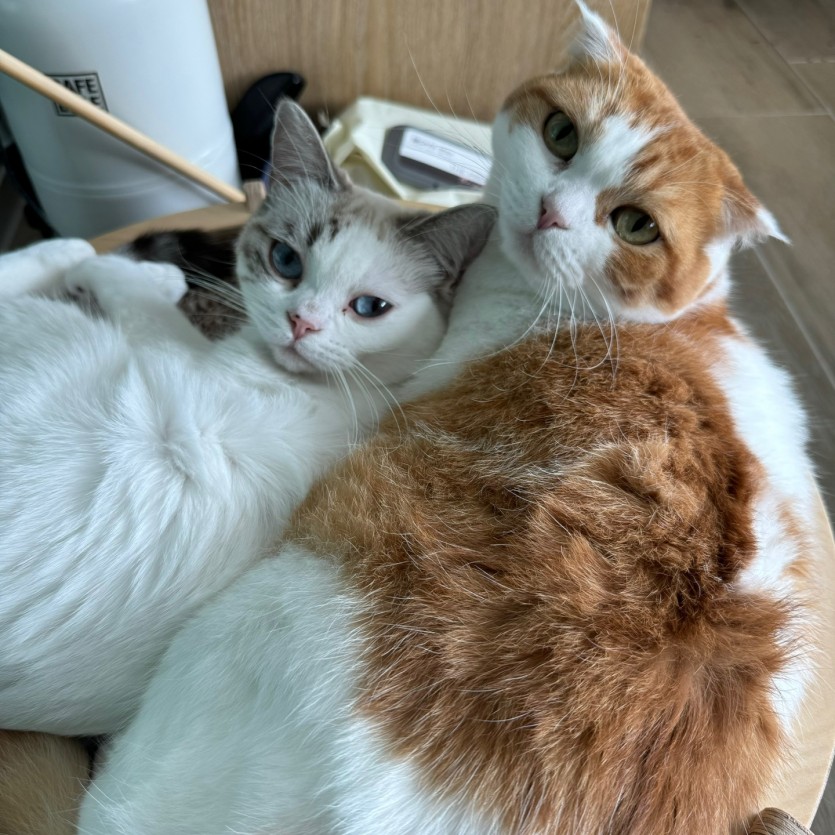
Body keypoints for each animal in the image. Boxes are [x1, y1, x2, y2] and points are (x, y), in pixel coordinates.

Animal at [0, 96, 495, 738]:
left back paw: (73, 251)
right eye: (286, 260)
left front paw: (133, 269)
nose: (301, 323)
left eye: (368, 307)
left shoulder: (173, 350)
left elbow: (135, 293)